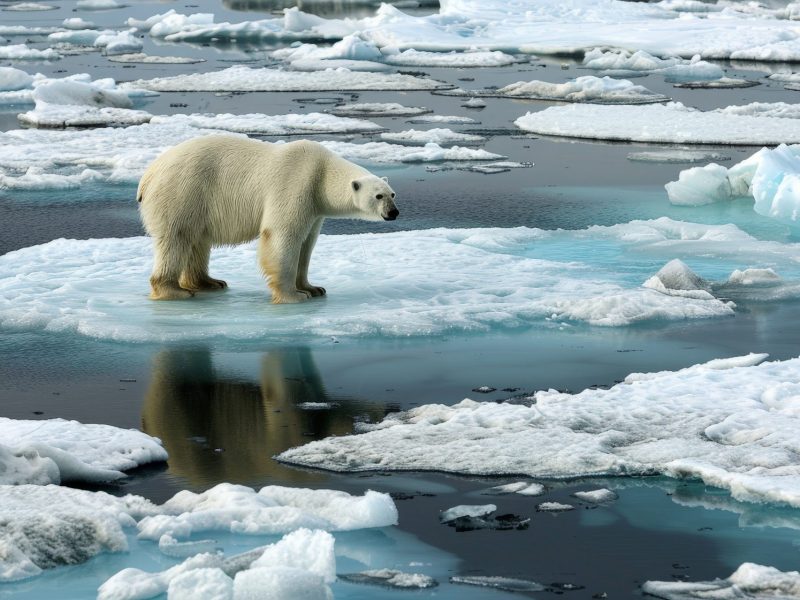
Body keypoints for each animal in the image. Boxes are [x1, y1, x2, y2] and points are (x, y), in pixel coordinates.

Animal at [140, 137, 400, 304]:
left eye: (393, 194)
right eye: (379, 196)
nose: (394, 213)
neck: (322, 172)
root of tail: (149, 174)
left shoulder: (315, 208)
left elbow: (307, 244)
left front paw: (313, 288)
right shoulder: (296, 183)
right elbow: (282, 236)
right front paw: (294, 296)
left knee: (197, 241)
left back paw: (209, 282)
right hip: (183, 191)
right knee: (177, 237)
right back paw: (175, 291)